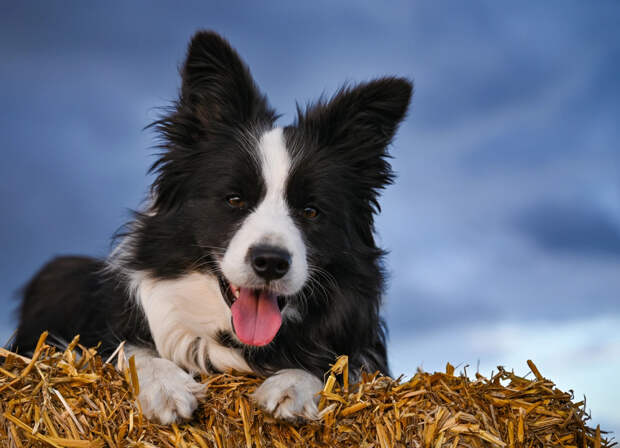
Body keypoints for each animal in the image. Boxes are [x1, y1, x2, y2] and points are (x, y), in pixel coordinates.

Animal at [13, 31, 412, 424]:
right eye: (234, 200)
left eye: (311, 211)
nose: (270, 262)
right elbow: (132, 351)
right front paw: (166, 388)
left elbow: (336, 363)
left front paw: (292, 386)